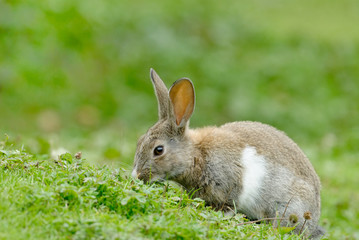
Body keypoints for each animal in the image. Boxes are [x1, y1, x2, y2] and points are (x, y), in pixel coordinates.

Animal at [132, 68, 326, 239]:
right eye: (139, 142)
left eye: (158, 150)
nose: (136, 175)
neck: (197, 155)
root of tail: (315, 213)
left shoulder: (229, 185)